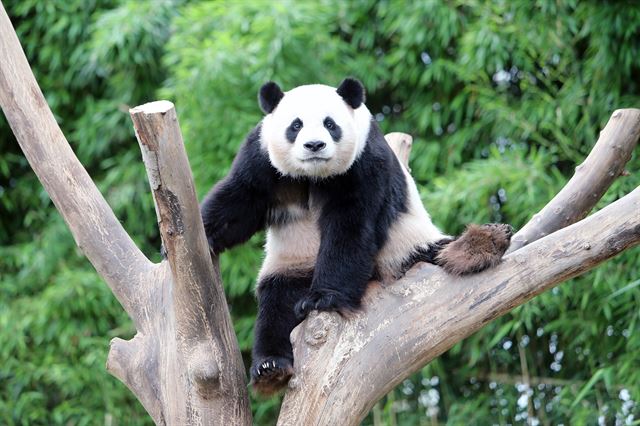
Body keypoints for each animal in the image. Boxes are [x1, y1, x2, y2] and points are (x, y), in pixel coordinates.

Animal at [202, 78, 512, 394]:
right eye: (296, 125)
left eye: (330, 124)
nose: (314, 145)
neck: (313, 176)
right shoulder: (261, 158)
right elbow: (240, 200)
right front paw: (201, 233)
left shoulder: (364, 163)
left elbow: (351, 226)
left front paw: (323, 299)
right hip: (293, 263)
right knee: (277, 304)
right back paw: (270, 368)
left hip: (406, 245)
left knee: (434, 253)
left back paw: (481, 244)